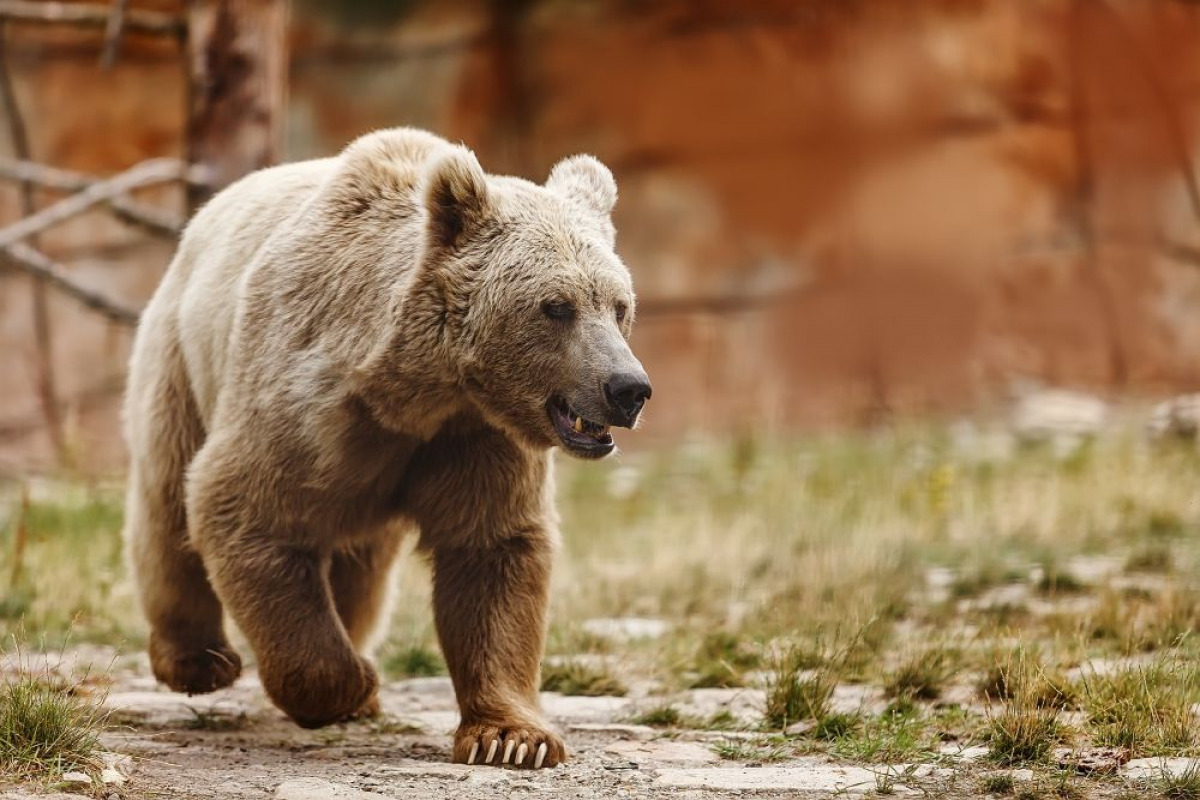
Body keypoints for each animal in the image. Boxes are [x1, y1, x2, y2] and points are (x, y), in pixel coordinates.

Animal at [120, 128, 648, 772]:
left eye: (619, 305)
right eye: (557, 306)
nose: (628, 388)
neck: (413, 391)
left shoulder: (474, 437)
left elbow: (492, 552)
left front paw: (512, 737)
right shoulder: (302, 403)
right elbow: (243, 506)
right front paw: (350, 682)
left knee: (360, 567)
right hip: (180, 361)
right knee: (166, 505)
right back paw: (199, 661)